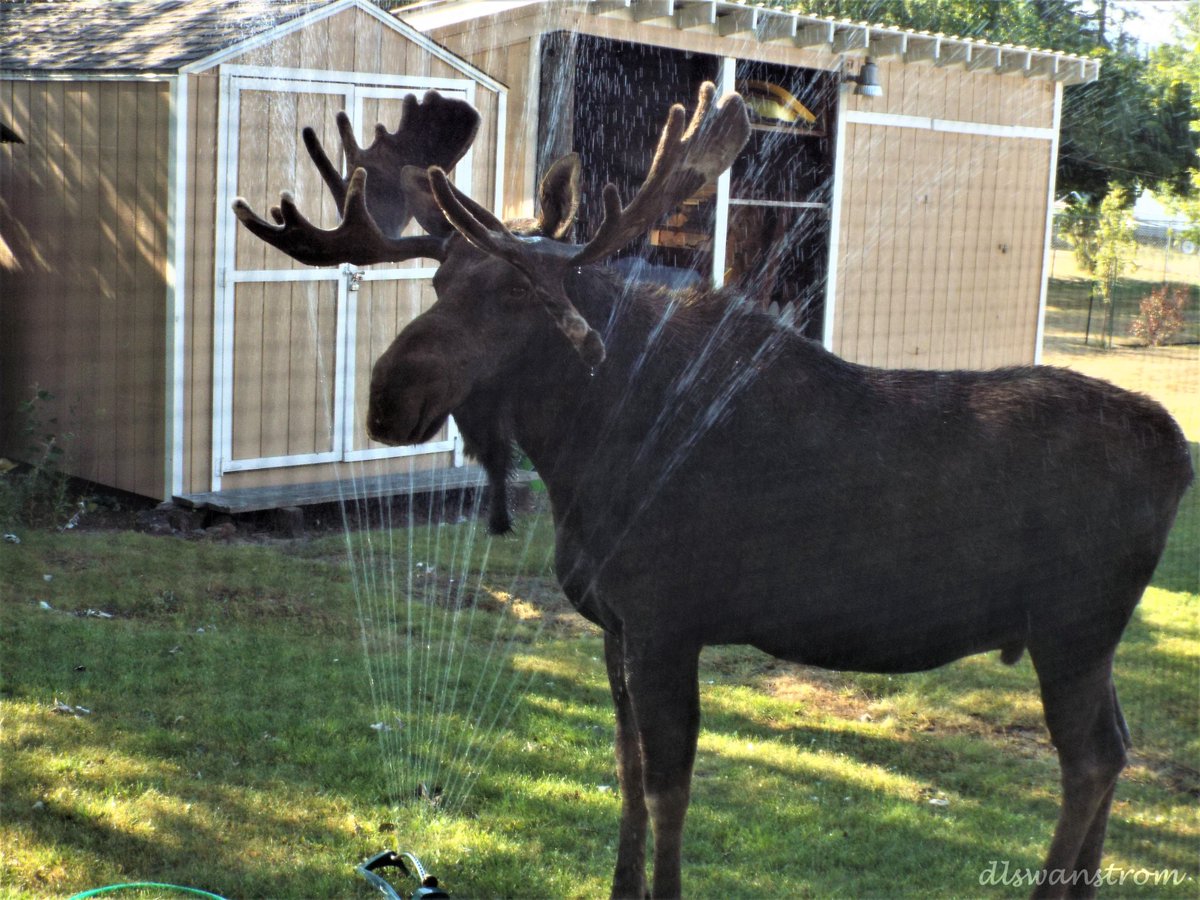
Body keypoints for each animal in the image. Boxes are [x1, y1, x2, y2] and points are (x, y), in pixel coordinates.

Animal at [234, 86, 1193, 898]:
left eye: (520, 294)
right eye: (437, 283)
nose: (387, 398)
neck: (583, 451)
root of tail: (1178, 455)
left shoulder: (668, 619)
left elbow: (669, 786)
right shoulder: (615, 624)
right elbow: (625, 772)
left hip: (1072, 624)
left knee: (1089, 760)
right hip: (1086, 636)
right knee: (1116, 748)